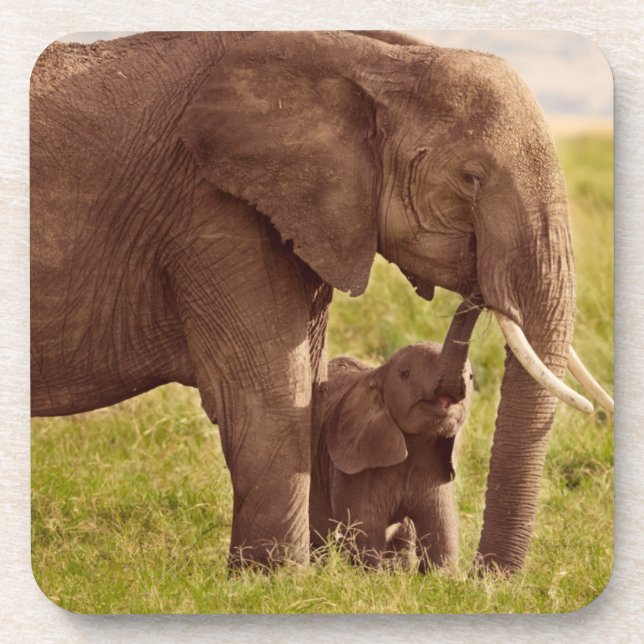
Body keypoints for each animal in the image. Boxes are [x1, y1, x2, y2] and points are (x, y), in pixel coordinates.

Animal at [309, 301, 479, 571]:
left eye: (471, 377)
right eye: (405, 374)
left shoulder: (436, 467)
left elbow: (442, 534)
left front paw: (442, 576)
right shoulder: (355, 469)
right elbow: (366, 532)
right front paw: (371, 574)